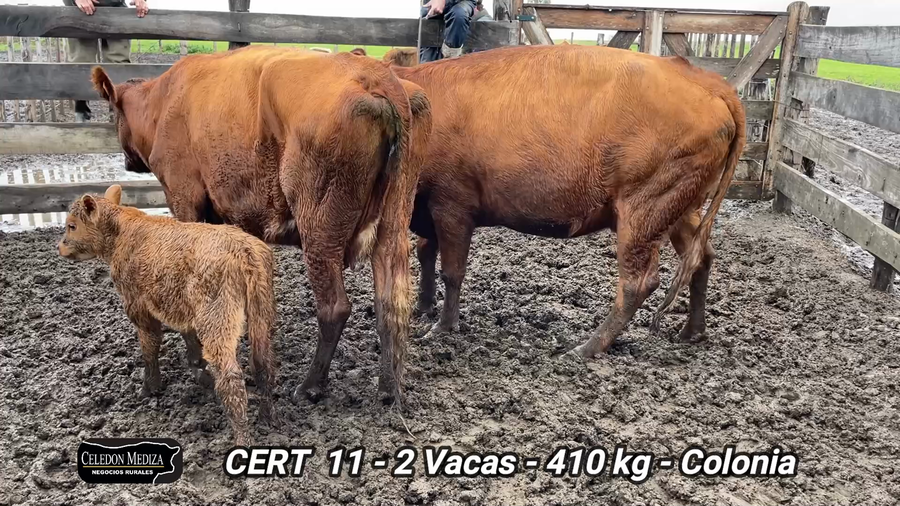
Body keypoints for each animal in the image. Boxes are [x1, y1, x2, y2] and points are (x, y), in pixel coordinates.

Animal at [58, 184, 276, 446]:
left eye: (71, 225)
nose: (60, 246)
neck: (122, 234)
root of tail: (244, 250)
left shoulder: (138, 306)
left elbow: (150, 346)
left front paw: (149, 387)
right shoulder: (181, 308)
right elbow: (188, 337)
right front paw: (197, 368)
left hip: (217, 319)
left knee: (231, 375)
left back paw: (242, 438)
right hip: (261, 312)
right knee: (263, 363)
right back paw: (267, 416)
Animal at [90, 46, 432, 404]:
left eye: (113, 114)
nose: (127, 161)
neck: (164, 100)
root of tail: (374, 73)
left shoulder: (183, 198)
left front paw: (197, 362)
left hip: (319, 229)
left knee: (335, 308)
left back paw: (310, 385)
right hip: (392, 225)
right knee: (391, 303)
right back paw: (388, 387)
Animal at [391, 44, 746, 356]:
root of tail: (703, 78)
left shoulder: (452, 203)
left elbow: (451, 271)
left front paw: (441, 328)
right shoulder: (426, 208)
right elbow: (425, 252)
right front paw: (423, 307)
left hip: (644, 209)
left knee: (639, 282)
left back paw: (585, 349)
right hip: (684, 207)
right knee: (701, 258)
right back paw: (691, 332)